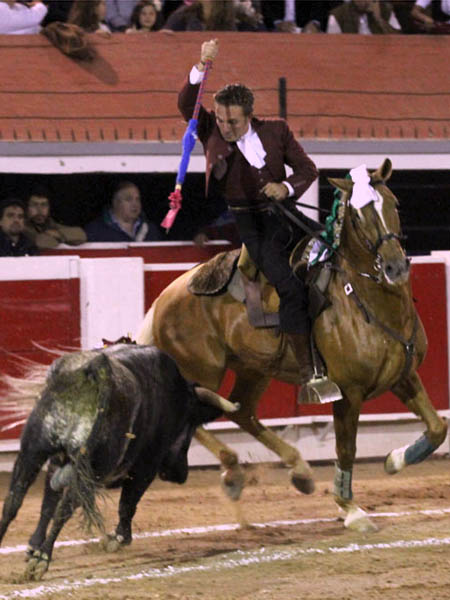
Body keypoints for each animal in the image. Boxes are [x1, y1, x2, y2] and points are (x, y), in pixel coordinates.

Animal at [0, 343, 238, 581]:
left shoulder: (56, 460)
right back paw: (42, 561)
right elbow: (128, 503)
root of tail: (96, 370)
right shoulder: (146, 468)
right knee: (64, 509)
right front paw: (119, 538)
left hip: (32, 451)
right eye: (190, 424)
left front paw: (33, 546)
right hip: (92, 470)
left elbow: (47, 503)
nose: (181, 474)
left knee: (14, 500)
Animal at [135, 159, 448, 533]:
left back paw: (297, 471)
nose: (394, 267)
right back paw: (235, 471)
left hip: (255, 370)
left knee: (241, 411)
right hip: (201, 372)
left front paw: (394, 460)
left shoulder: (403, 376)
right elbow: (346, 448)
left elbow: (437, 428)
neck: (366, 300)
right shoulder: (348, 393)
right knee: (192, 417)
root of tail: (165, 296)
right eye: (358, 217)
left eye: (394, 204)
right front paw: (351, 508)